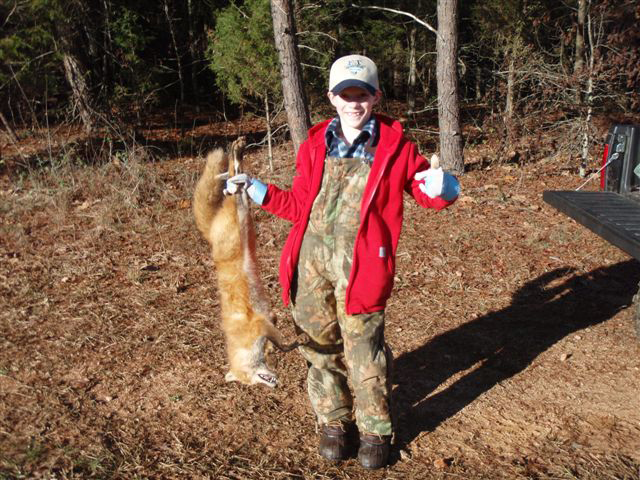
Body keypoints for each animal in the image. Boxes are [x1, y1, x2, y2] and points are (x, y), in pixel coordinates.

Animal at [193, 138, 305, 387]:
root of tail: (210, 232)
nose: (273, 385)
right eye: (250, 383)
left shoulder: (259, 325)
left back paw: (236, 151)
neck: (242, 345)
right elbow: (277, 341)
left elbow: (283, 344)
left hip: (237, 220)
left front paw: (295, 343)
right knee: (238, 183)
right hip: (244, 211)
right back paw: (239, 152)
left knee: (232, 176)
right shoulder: (267, 321)